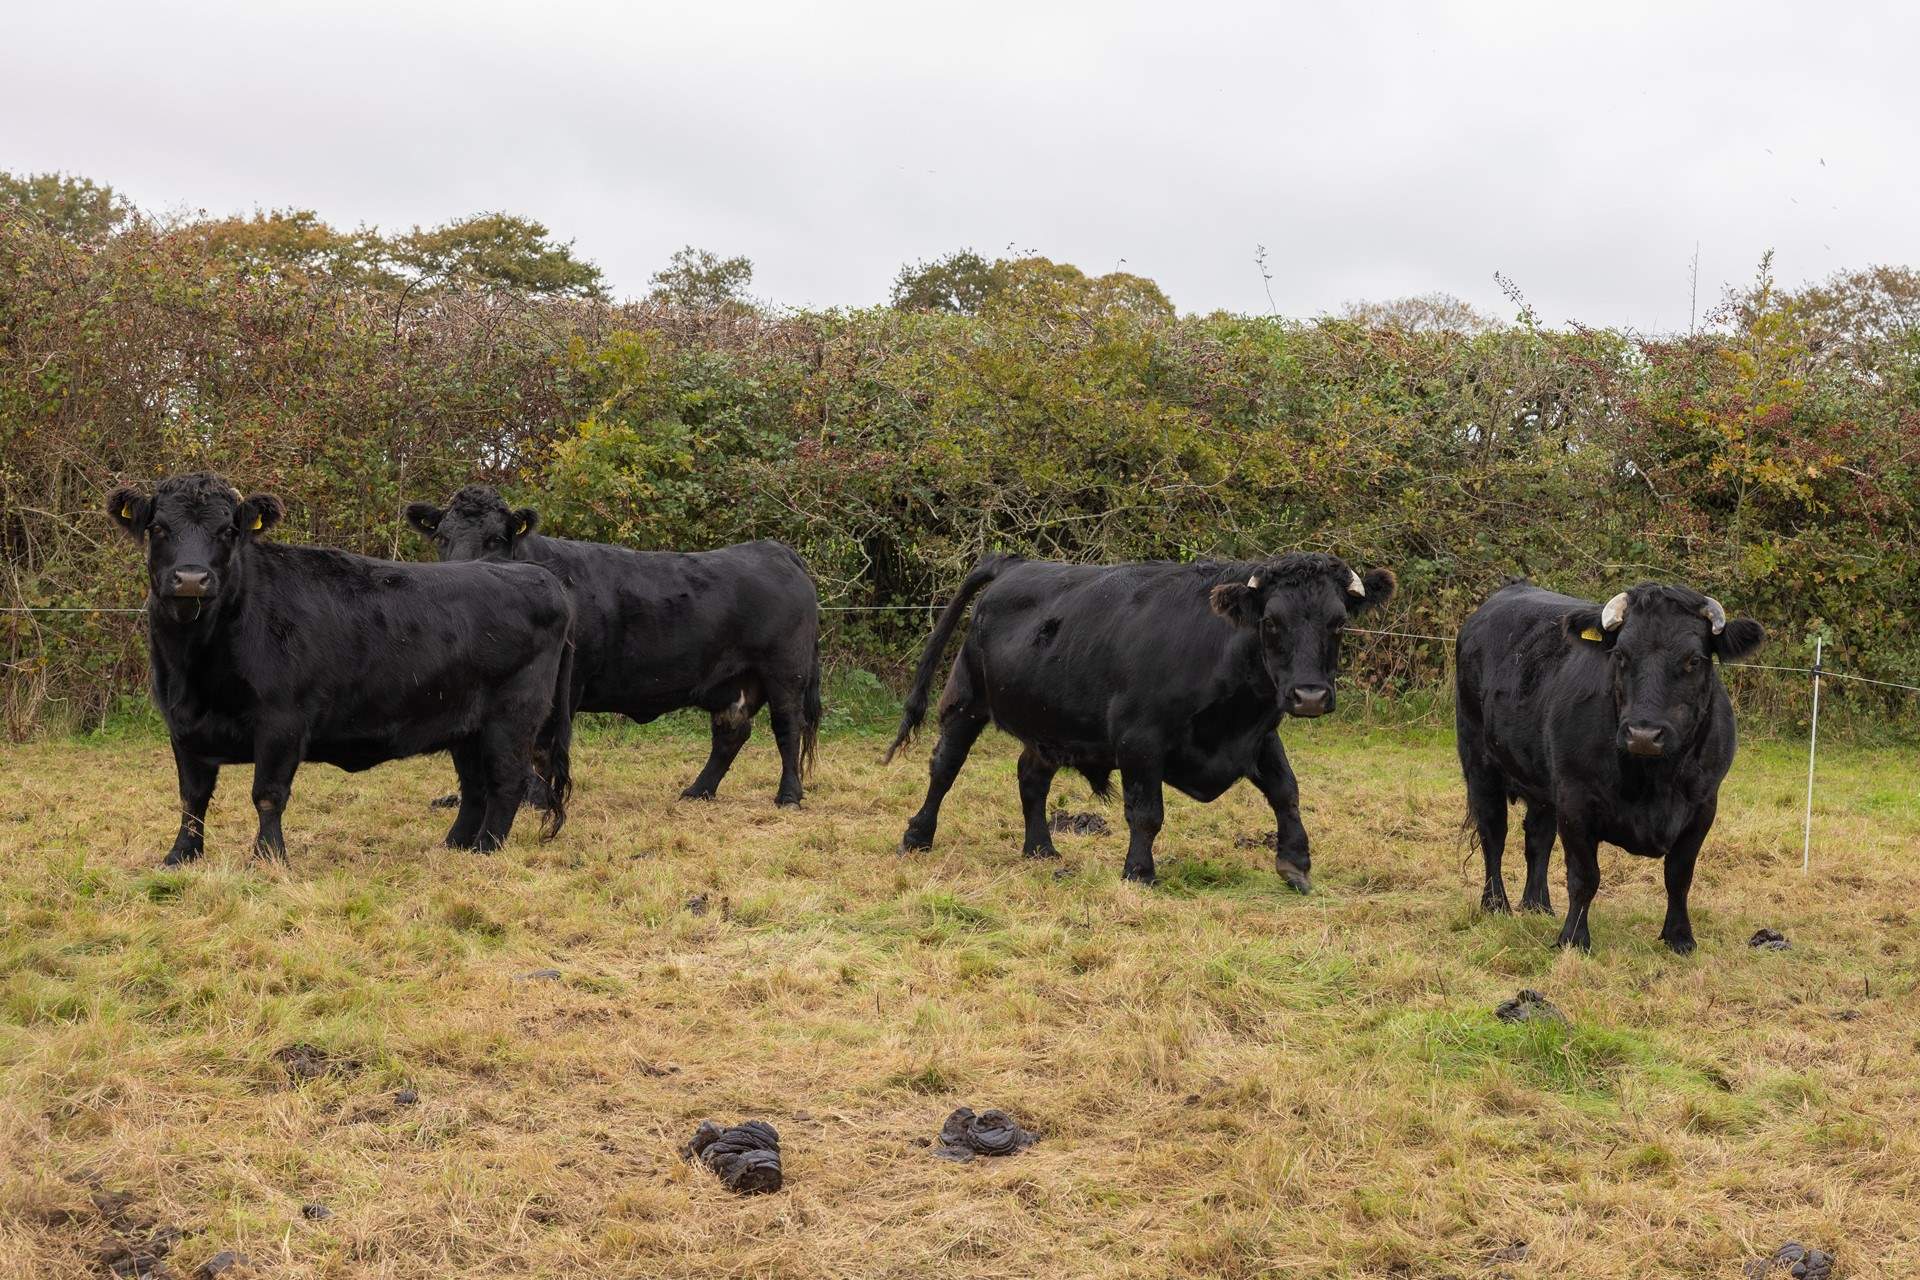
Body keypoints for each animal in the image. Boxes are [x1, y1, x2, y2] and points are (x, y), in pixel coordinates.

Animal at [108, 472, 575, 864]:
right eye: (158, 528)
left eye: (228, 531)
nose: (191, 579)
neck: (195, 665)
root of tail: (537, 575)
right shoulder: (182, 726)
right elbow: (192, 798)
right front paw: (180, 855)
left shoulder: (281, 721)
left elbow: (268, 795)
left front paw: (267, 858)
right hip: (466, 724)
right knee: (475, 785)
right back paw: (455, 845)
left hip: (512, 717)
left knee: (506, 781)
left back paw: (485, 849)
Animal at [403, 486, 822, 805]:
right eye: (441, 538)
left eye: (495, 539)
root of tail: (774, 550)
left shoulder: (562, 683)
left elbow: (539, 745)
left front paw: (535, 798)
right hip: (733, 682)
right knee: (731, 732)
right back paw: (698, 791)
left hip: (785, 670)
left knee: (788, 726)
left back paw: (789, 795)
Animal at [885, 552, 1396, 886]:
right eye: (1271, 622)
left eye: (1338, 623)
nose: (1309, 695)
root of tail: (1015, 563)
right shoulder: (1139, 738)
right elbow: (1146, 812)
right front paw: (1139, 871)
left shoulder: (1259, 735)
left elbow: (1286, 792)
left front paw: (1295, 861)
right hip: (968, 700)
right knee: (945, 767)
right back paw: (917, 836)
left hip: (1049, 722)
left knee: (1031, 776)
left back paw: (1041, 849)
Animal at [1454, 580, 1765, 953]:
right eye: (1621, 655)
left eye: (1694, 660)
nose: (1644, 734)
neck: (1655, 782)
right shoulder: (1575, 801)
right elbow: (1584, 877)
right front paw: (1573, 939)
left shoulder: (1703, 805)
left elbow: (1679, 876)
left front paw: (1679, 938)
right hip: (1479, 761)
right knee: (1493, 834)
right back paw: (1496, 905)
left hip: (1543, 783)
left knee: (1537, 838)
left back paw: (1537, 905)